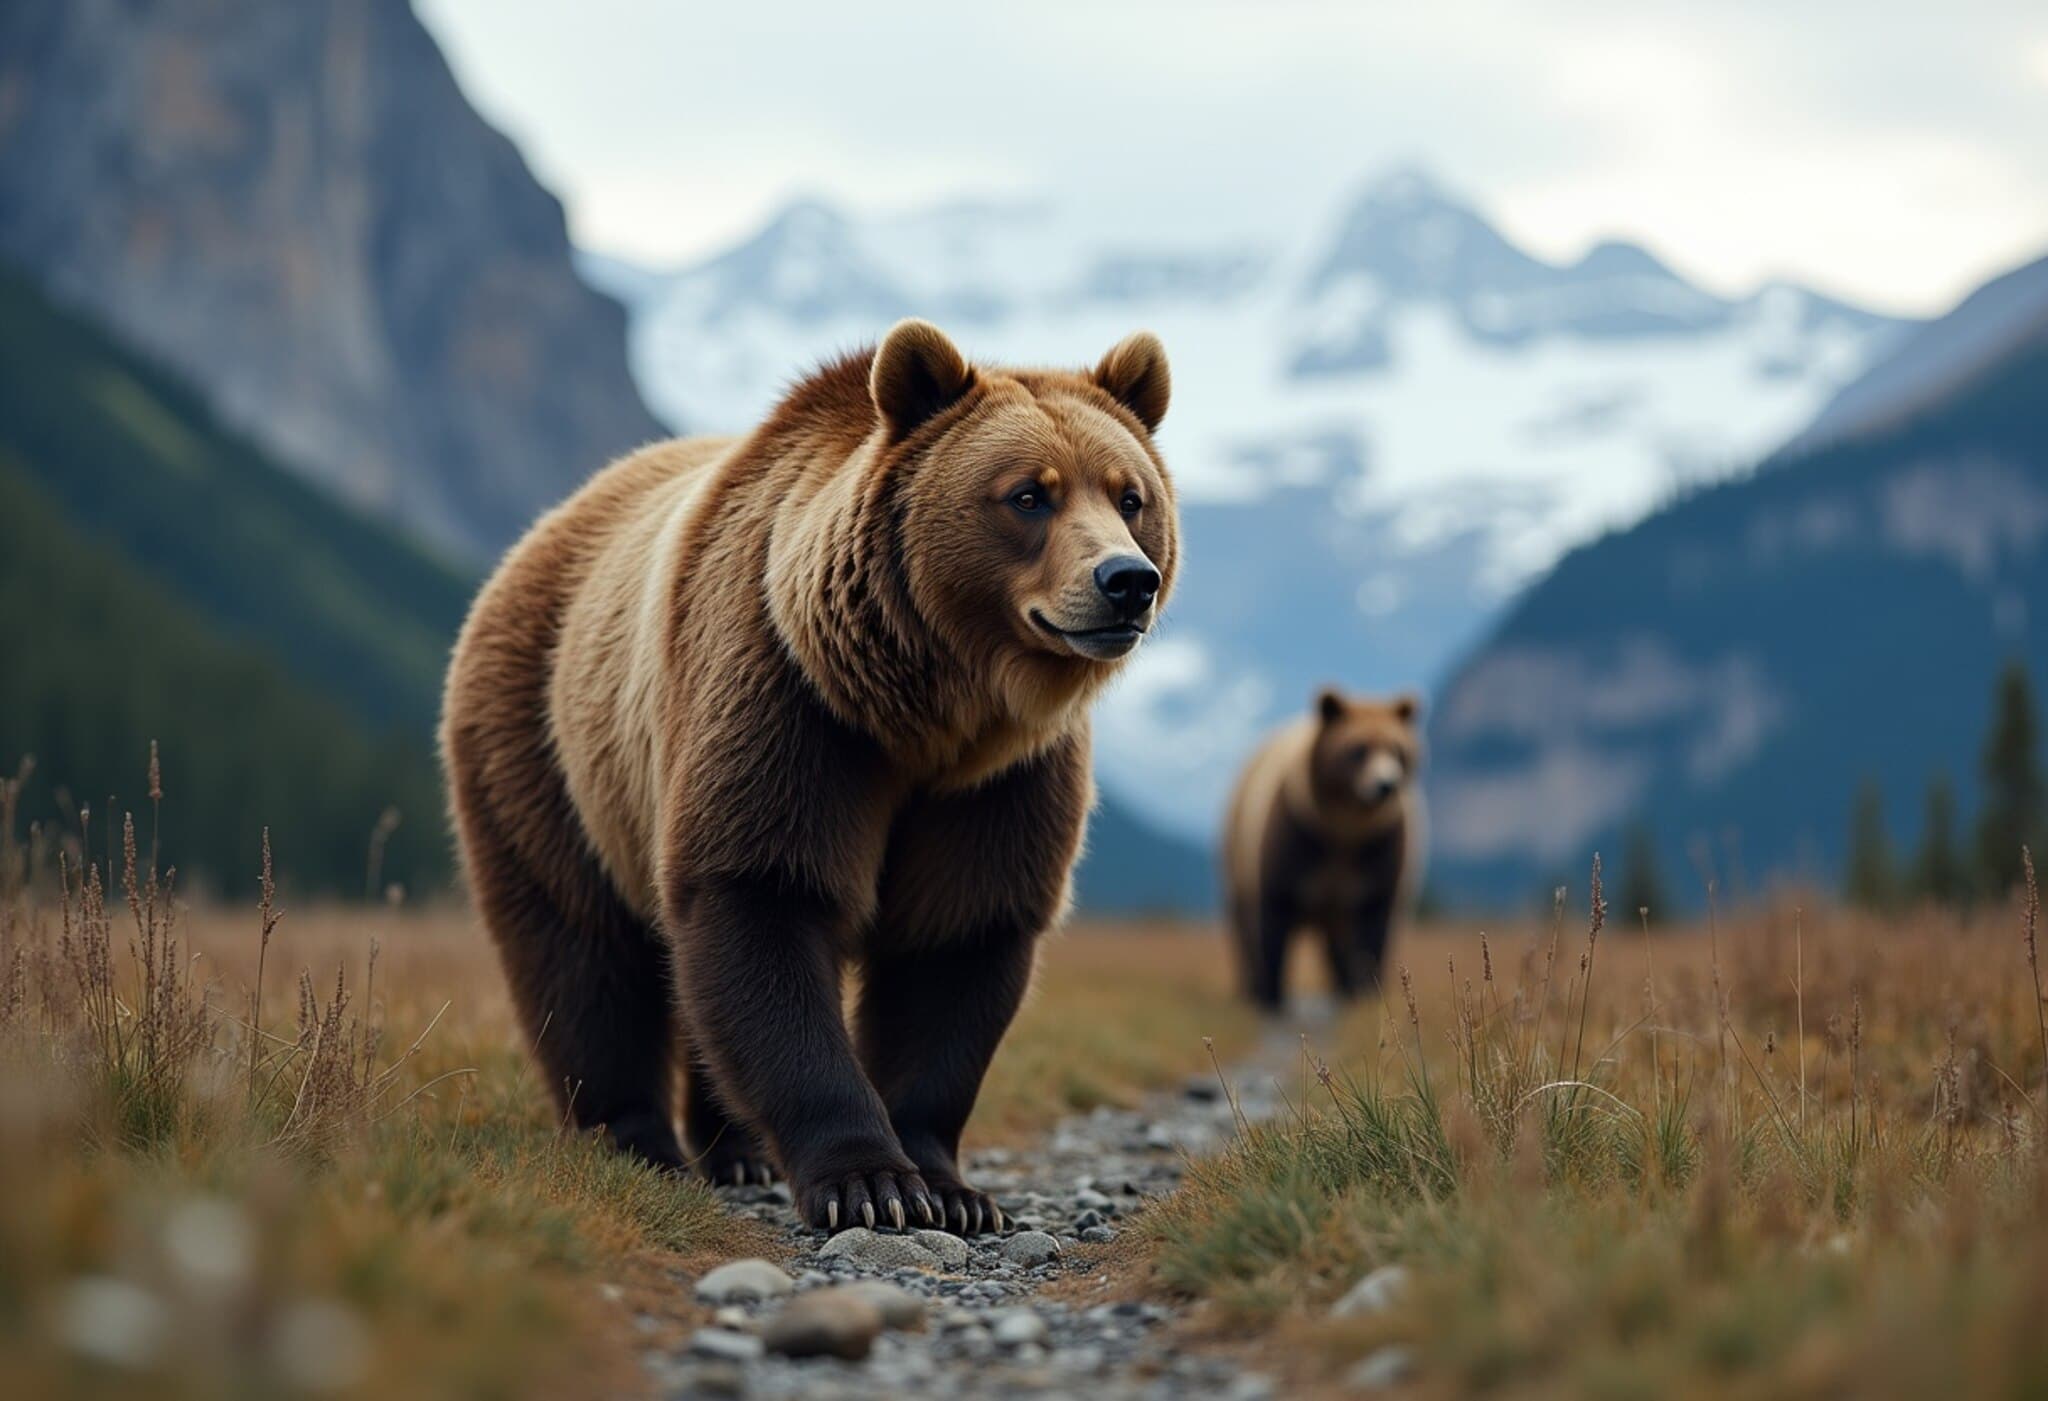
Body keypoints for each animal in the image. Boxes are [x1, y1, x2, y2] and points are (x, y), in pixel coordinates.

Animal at [440, 319, 1177, 1235]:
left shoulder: (1000, 778)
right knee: (580, 950)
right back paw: (637, 1142)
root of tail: (542, 529)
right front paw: (872, 1181)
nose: (1126, 580)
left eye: (1130, 495)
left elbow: (960, 938)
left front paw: (952, 1189)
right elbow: (763, 895)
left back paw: (737, 1151)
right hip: (547, 750)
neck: (927, 711)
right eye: (1027, 495)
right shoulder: (794, 702)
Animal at [1221, 688, 1424, 1010]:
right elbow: (1272, 919)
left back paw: (1342, 988)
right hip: (1235, 857)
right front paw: (1271, 994)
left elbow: (1374, 926)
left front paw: (1365, 991)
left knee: (1339, 943)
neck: (1344, 829)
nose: (1386, 784)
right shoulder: (1296, 841)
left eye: (1398, 749)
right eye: (1359, 748)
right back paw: (1249, 988)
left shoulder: (1379, 851)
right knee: (1242, 927)